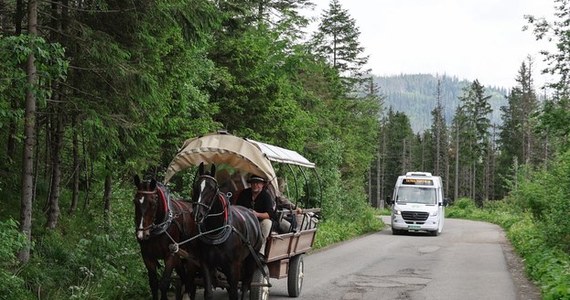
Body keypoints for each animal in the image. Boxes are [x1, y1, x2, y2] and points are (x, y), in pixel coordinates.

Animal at [190, 164, 262, 300]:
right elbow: (208, 293)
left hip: (251, 258)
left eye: (212, 188)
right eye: (196, 187)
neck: (216, 231)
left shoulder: (234, 266)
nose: (197, 214)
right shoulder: (206, 264)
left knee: (246, 283)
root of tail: (251, 212)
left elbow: (234, 293)